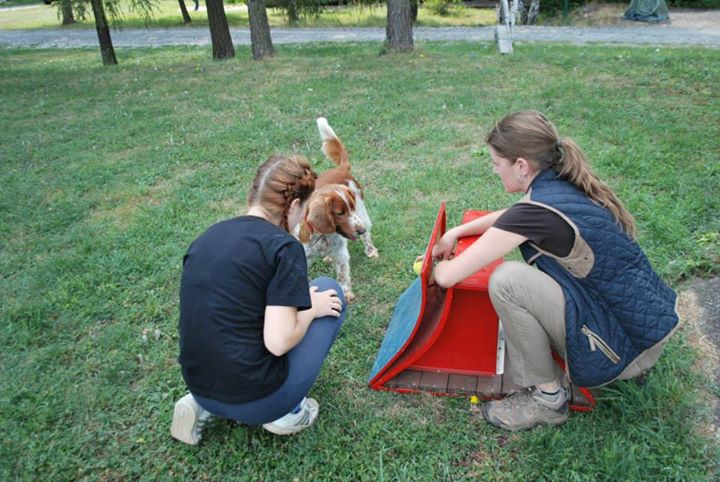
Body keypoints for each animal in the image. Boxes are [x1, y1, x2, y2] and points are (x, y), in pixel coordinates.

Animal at [296, 116, 380, 302]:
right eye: (340, 213)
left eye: (351, 209)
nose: (360, 230)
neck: (322, 237)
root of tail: (340, 169)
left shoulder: (341, 253)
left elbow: (342, 277)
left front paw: (346, 295)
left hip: (364, 216)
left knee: (368, 237)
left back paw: (371, 251)